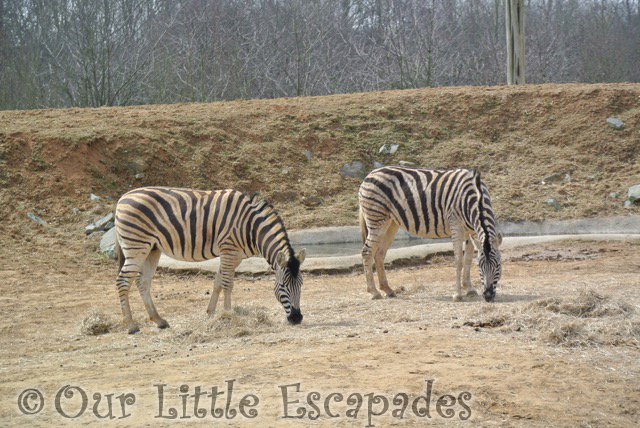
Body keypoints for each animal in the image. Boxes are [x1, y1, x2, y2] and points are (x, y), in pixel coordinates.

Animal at [114, 187, 306, 334]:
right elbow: (228, 284)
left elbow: (218, 283)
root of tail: (123, 197)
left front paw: (211, 313)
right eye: (282, 286)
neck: (251, 228)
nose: (297, 318)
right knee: (123, 281)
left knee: (143, 282)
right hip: (137, 246)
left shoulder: (233, 256)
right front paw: (228, 315)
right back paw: (131, 325)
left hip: (152, 249)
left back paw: (159, 320)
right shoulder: (229, 251)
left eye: (301, 285)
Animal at [358, 166, 502, 302]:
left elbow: (468, 259)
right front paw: (457, 294)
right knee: (367, 252)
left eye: (498, 265)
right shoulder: (456, 226)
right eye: (480, 266)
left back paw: (387, 289)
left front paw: (469, 289)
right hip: (376, 218)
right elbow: (459, 260)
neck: (475, 195)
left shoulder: (471, 231)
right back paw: (374, 292)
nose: (488, 296)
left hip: (391, 223)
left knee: (379, 254)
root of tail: (370, 174)